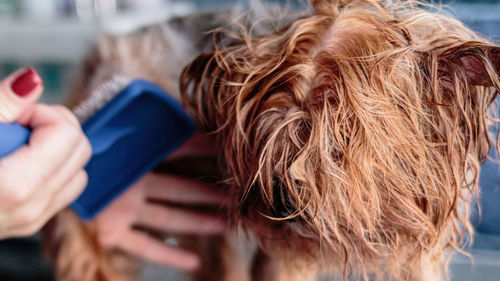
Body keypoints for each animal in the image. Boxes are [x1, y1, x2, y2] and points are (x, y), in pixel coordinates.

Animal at [42, 0, 500, 280]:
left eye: (342, 140)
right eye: (265, 141)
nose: (281, 203)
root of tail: (102, 53)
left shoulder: (423, 252)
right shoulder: (283, 255)